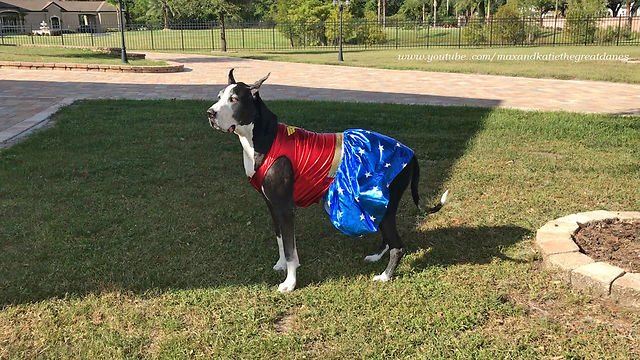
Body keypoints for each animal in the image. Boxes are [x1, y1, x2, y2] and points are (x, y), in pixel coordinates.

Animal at [208, 69, 448, 292]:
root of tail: (409, 152)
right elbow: (281, 240)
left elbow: (290, 248)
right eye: (219, 96)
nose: (210, 113)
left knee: (398, 246)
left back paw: (385, 276)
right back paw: (377, 257)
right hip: (378, 205)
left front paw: (290, 283)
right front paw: (282, 265)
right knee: (388, 239)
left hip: (384, 203)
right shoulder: (271, 205)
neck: (262, 138)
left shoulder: (285, 207)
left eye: (234, 99)